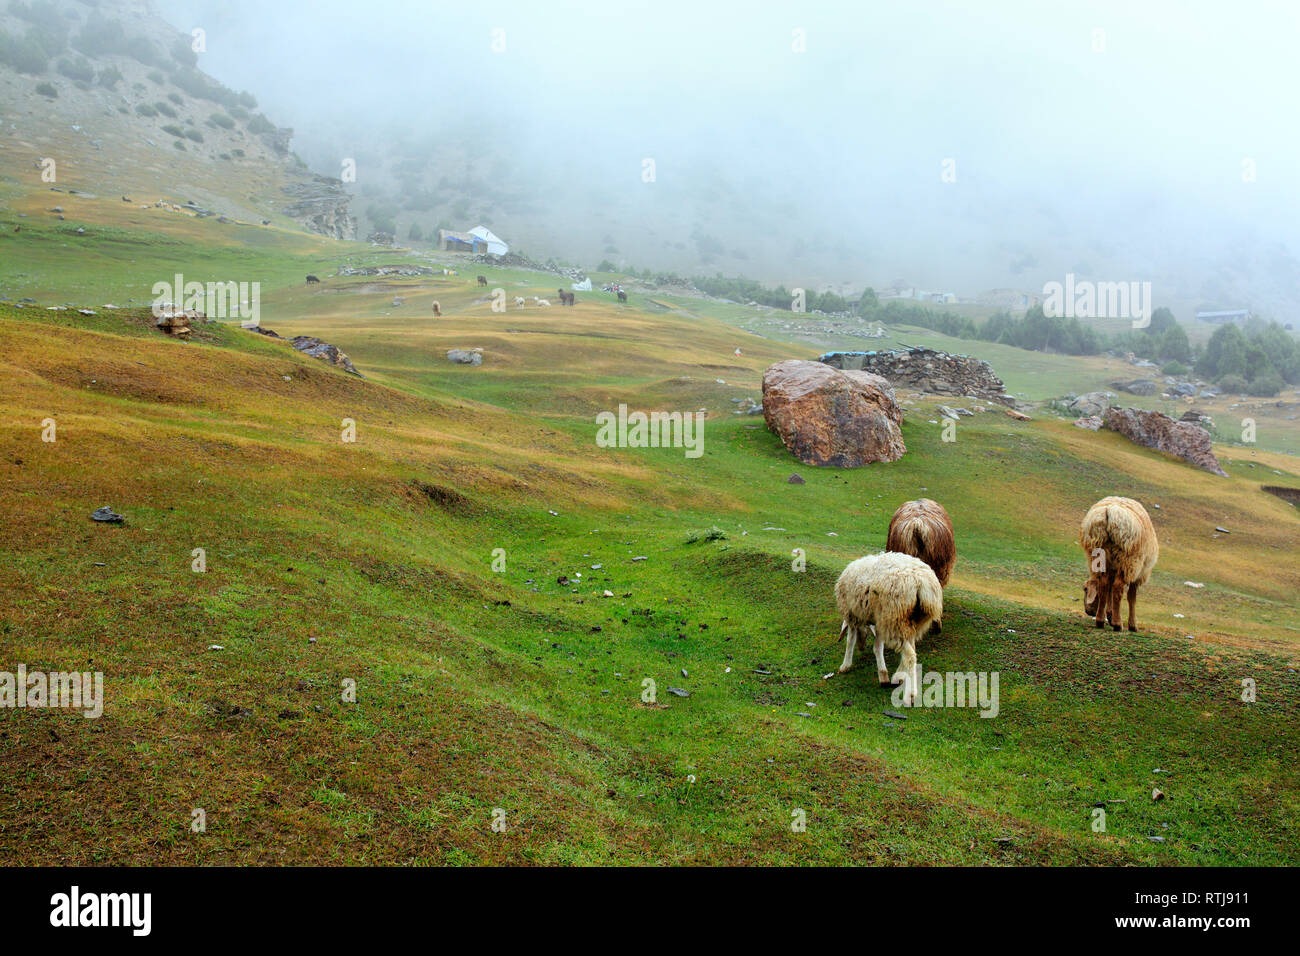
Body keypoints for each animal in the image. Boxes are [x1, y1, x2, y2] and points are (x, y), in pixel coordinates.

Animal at [832, 554, 946, 702]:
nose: (861, 647)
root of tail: (921, 583)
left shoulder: (852, 615)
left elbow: (850, 641)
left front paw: (845, 666)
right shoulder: (879, 621)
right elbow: (877, 646)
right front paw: (883, 674)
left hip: (895, 618)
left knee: (910, 656)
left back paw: (911, 693)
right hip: (910, 621)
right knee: (911, 649)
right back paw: (899, 675)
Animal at [1076, 496, 1159, 632]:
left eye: (1085, 589)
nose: (1088, 612)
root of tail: (1108, 512)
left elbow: (1108, 590)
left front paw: (1109, 615)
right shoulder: (1139, 573)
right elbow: (1132, 598)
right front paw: (1132, 625)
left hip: (1100, 555)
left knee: (1104, 585)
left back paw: (1100, 621)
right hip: (1129, 560)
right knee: (1118, 588)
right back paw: (1118, 624)